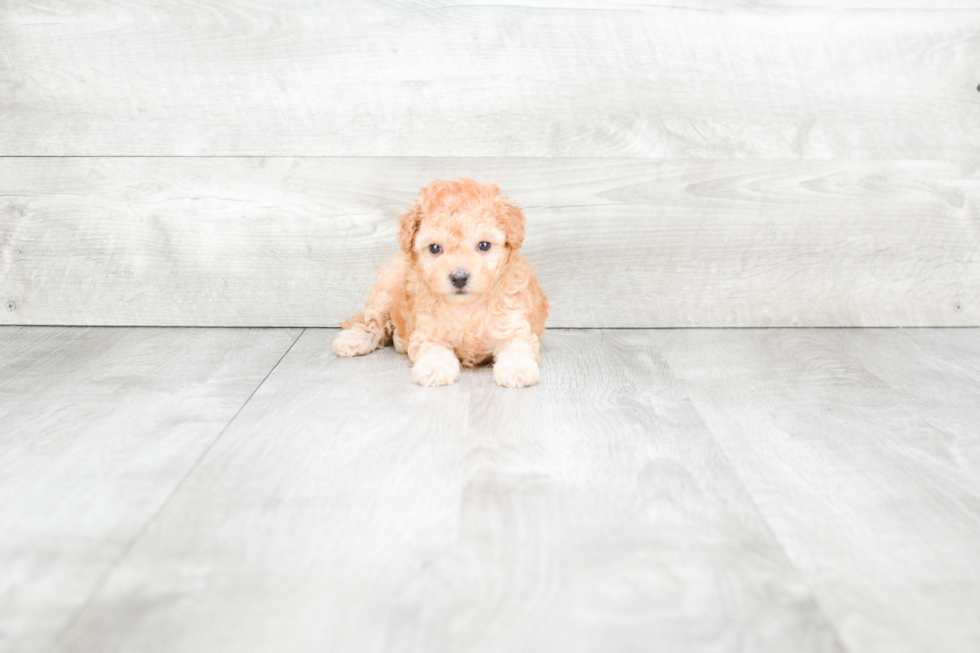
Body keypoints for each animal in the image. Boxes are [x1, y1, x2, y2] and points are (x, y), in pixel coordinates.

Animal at [334, 177, 548, 388]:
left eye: (484, 245)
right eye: (435, 248)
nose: (459, 277)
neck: (467, 308)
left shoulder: (512, 325)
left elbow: (517, 347)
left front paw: (517, 370)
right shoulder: (429, 329)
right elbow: (433, 349)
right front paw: (434, 368)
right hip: (387, 289)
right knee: (372, 321)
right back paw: (353, 339)